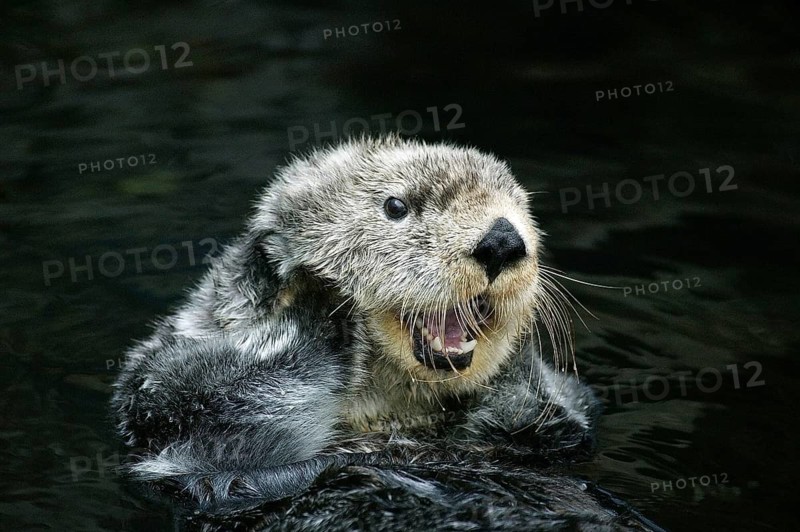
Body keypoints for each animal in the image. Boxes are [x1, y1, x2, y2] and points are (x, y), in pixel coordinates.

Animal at [111, 136, 658, 530]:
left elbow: (560, 421)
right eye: (396, 206)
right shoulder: (168, 402)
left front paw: (521, 365)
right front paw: (316, 295)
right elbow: (237, 406)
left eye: (521, 210)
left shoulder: (558, 432)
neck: (392, 418)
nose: (503, 240)